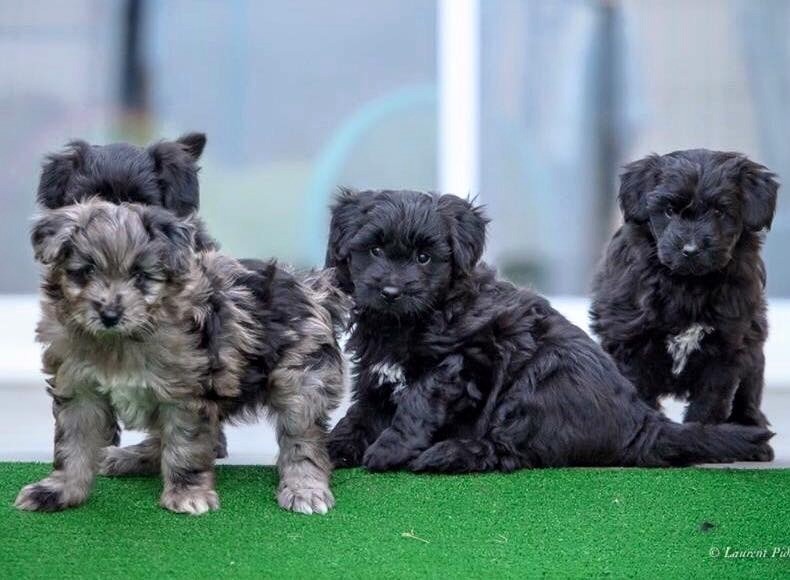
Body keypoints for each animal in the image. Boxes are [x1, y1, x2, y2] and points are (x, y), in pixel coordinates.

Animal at [15, 198, 348, 512]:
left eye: (140, 275)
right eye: (86, 272)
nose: (109, 315)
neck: (120, 341)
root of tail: (314, 287)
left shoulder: (184, 394)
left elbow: (184, 446)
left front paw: (187, 493)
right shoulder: (78, 388)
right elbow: (73, 445)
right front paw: (59, 490)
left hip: (301, 380)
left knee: (303, 439)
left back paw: (304, 487)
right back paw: (129, 457)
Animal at [322, 188, 772, 474]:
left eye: (424, 258)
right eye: (374, 250)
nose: (391, 291)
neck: (411, 319)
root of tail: (642, 423)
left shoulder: (463, 360)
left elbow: (417, 401)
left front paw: (388, 449)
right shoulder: (376, 371)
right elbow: (362, 410)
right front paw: (333, 447)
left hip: (540, 381)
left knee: (510, 449)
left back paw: (448, 455)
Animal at [592, 148, 780, 458]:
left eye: (719, 211)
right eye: (669, 210)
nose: (690, 250)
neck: (688, 284)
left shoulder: (726, 348)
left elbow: (710, 402)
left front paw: (705, 440)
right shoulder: (630, 343)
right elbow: (639, 393)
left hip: (754, 347)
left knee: (749, 392)